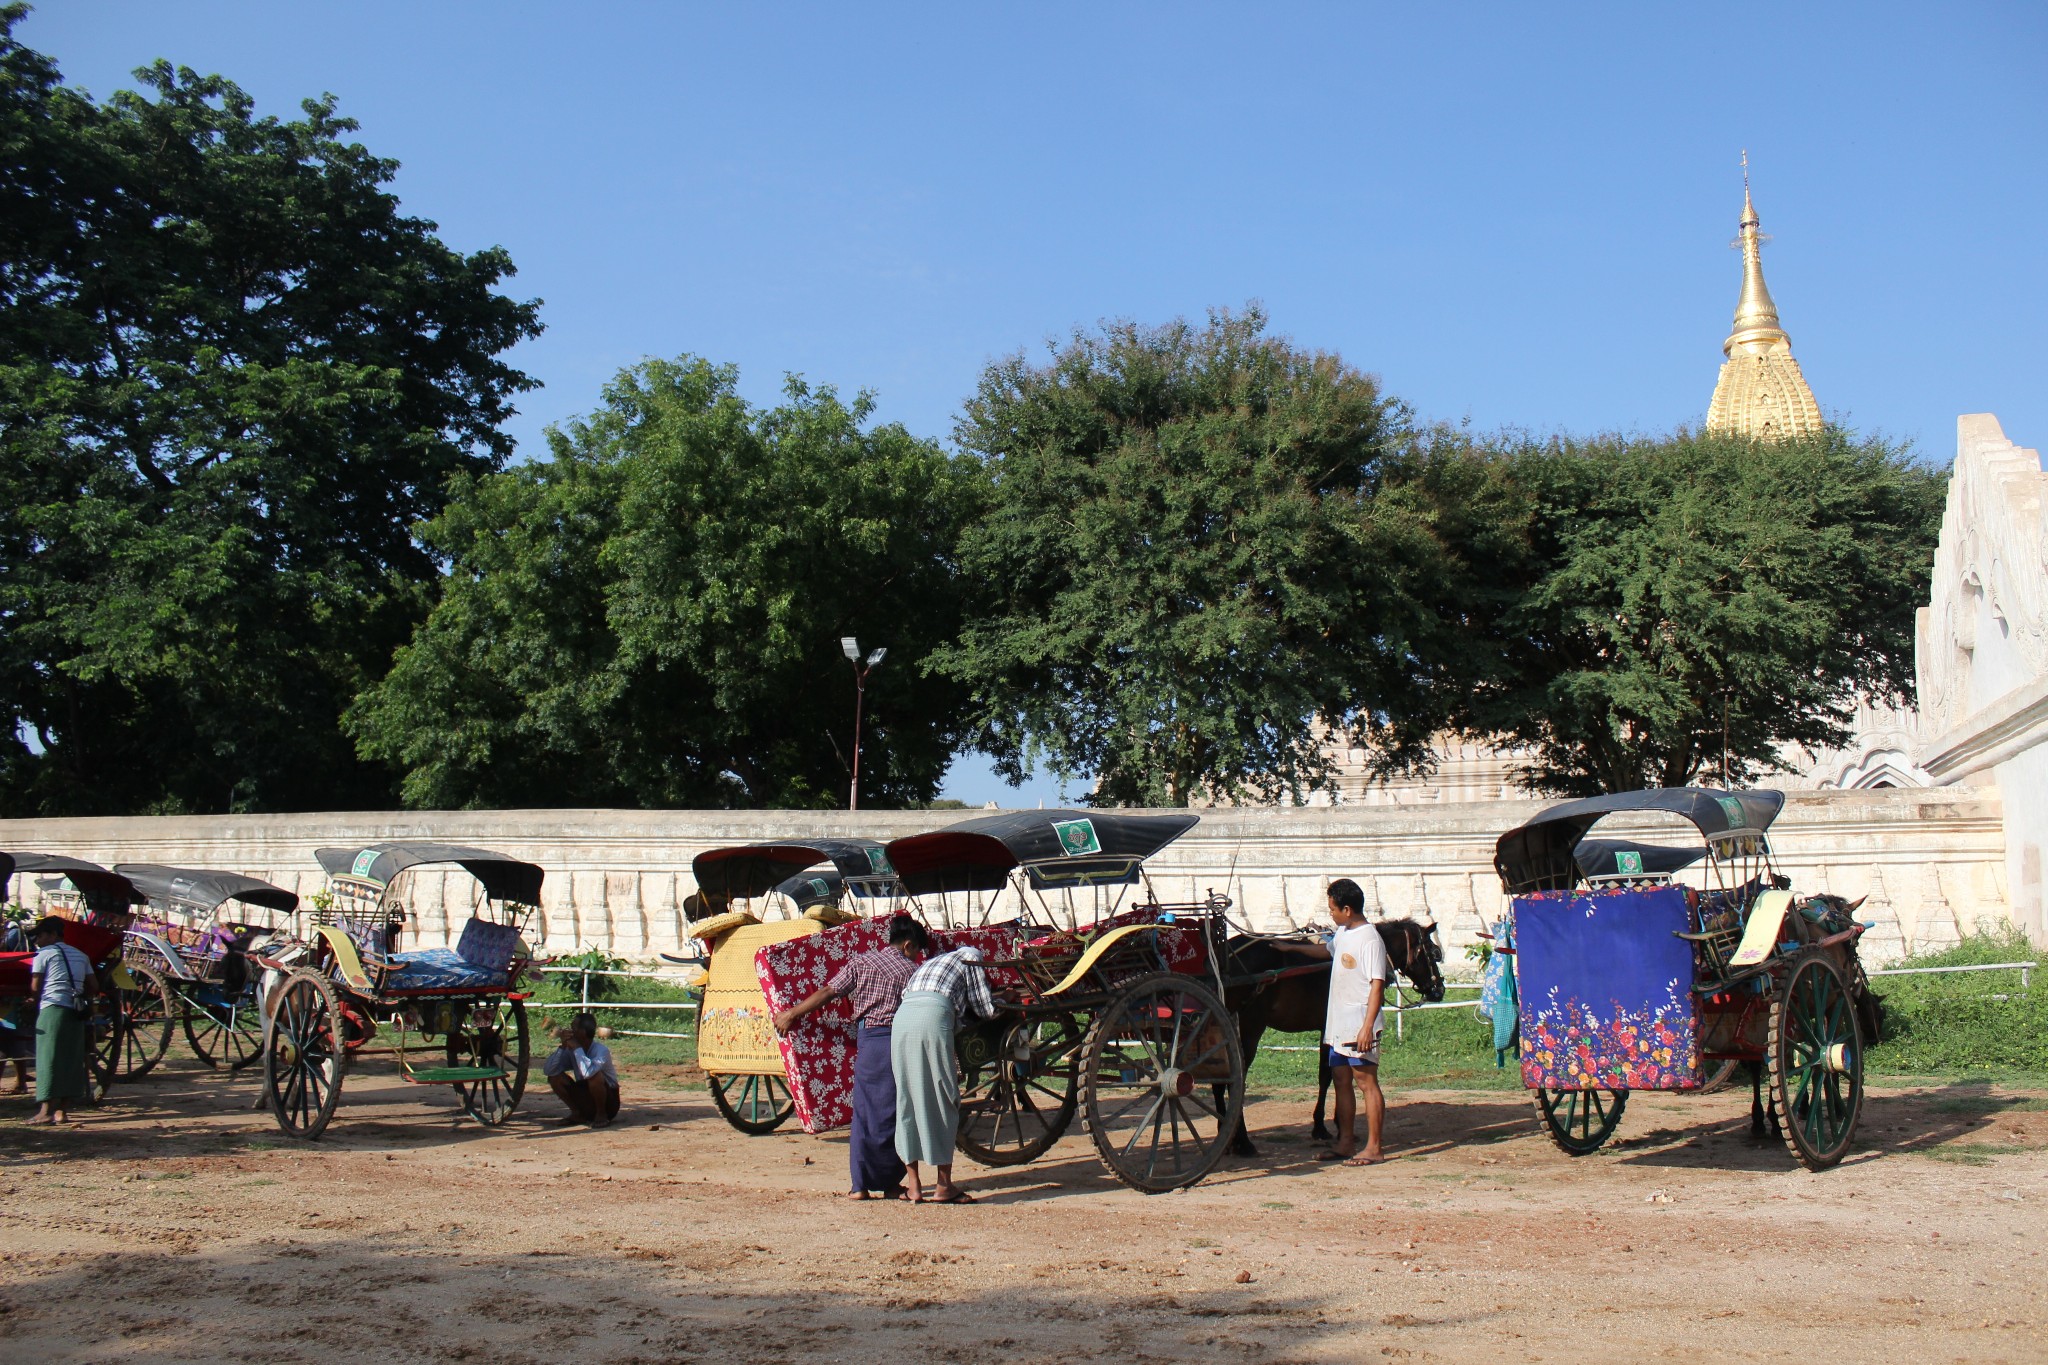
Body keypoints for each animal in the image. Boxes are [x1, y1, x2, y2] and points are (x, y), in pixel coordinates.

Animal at [1220, 925, 1449, 1162]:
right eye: (1434, 953)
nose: (1439, 989)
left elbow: (1331, 1074)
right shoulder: (1328, 1028)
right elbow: (1327, 1075)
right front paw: (1326, 1126)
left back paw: (1226, 1132)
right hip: (1249, 1028)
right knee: (1234, 1080)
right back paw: (1243, 1141)